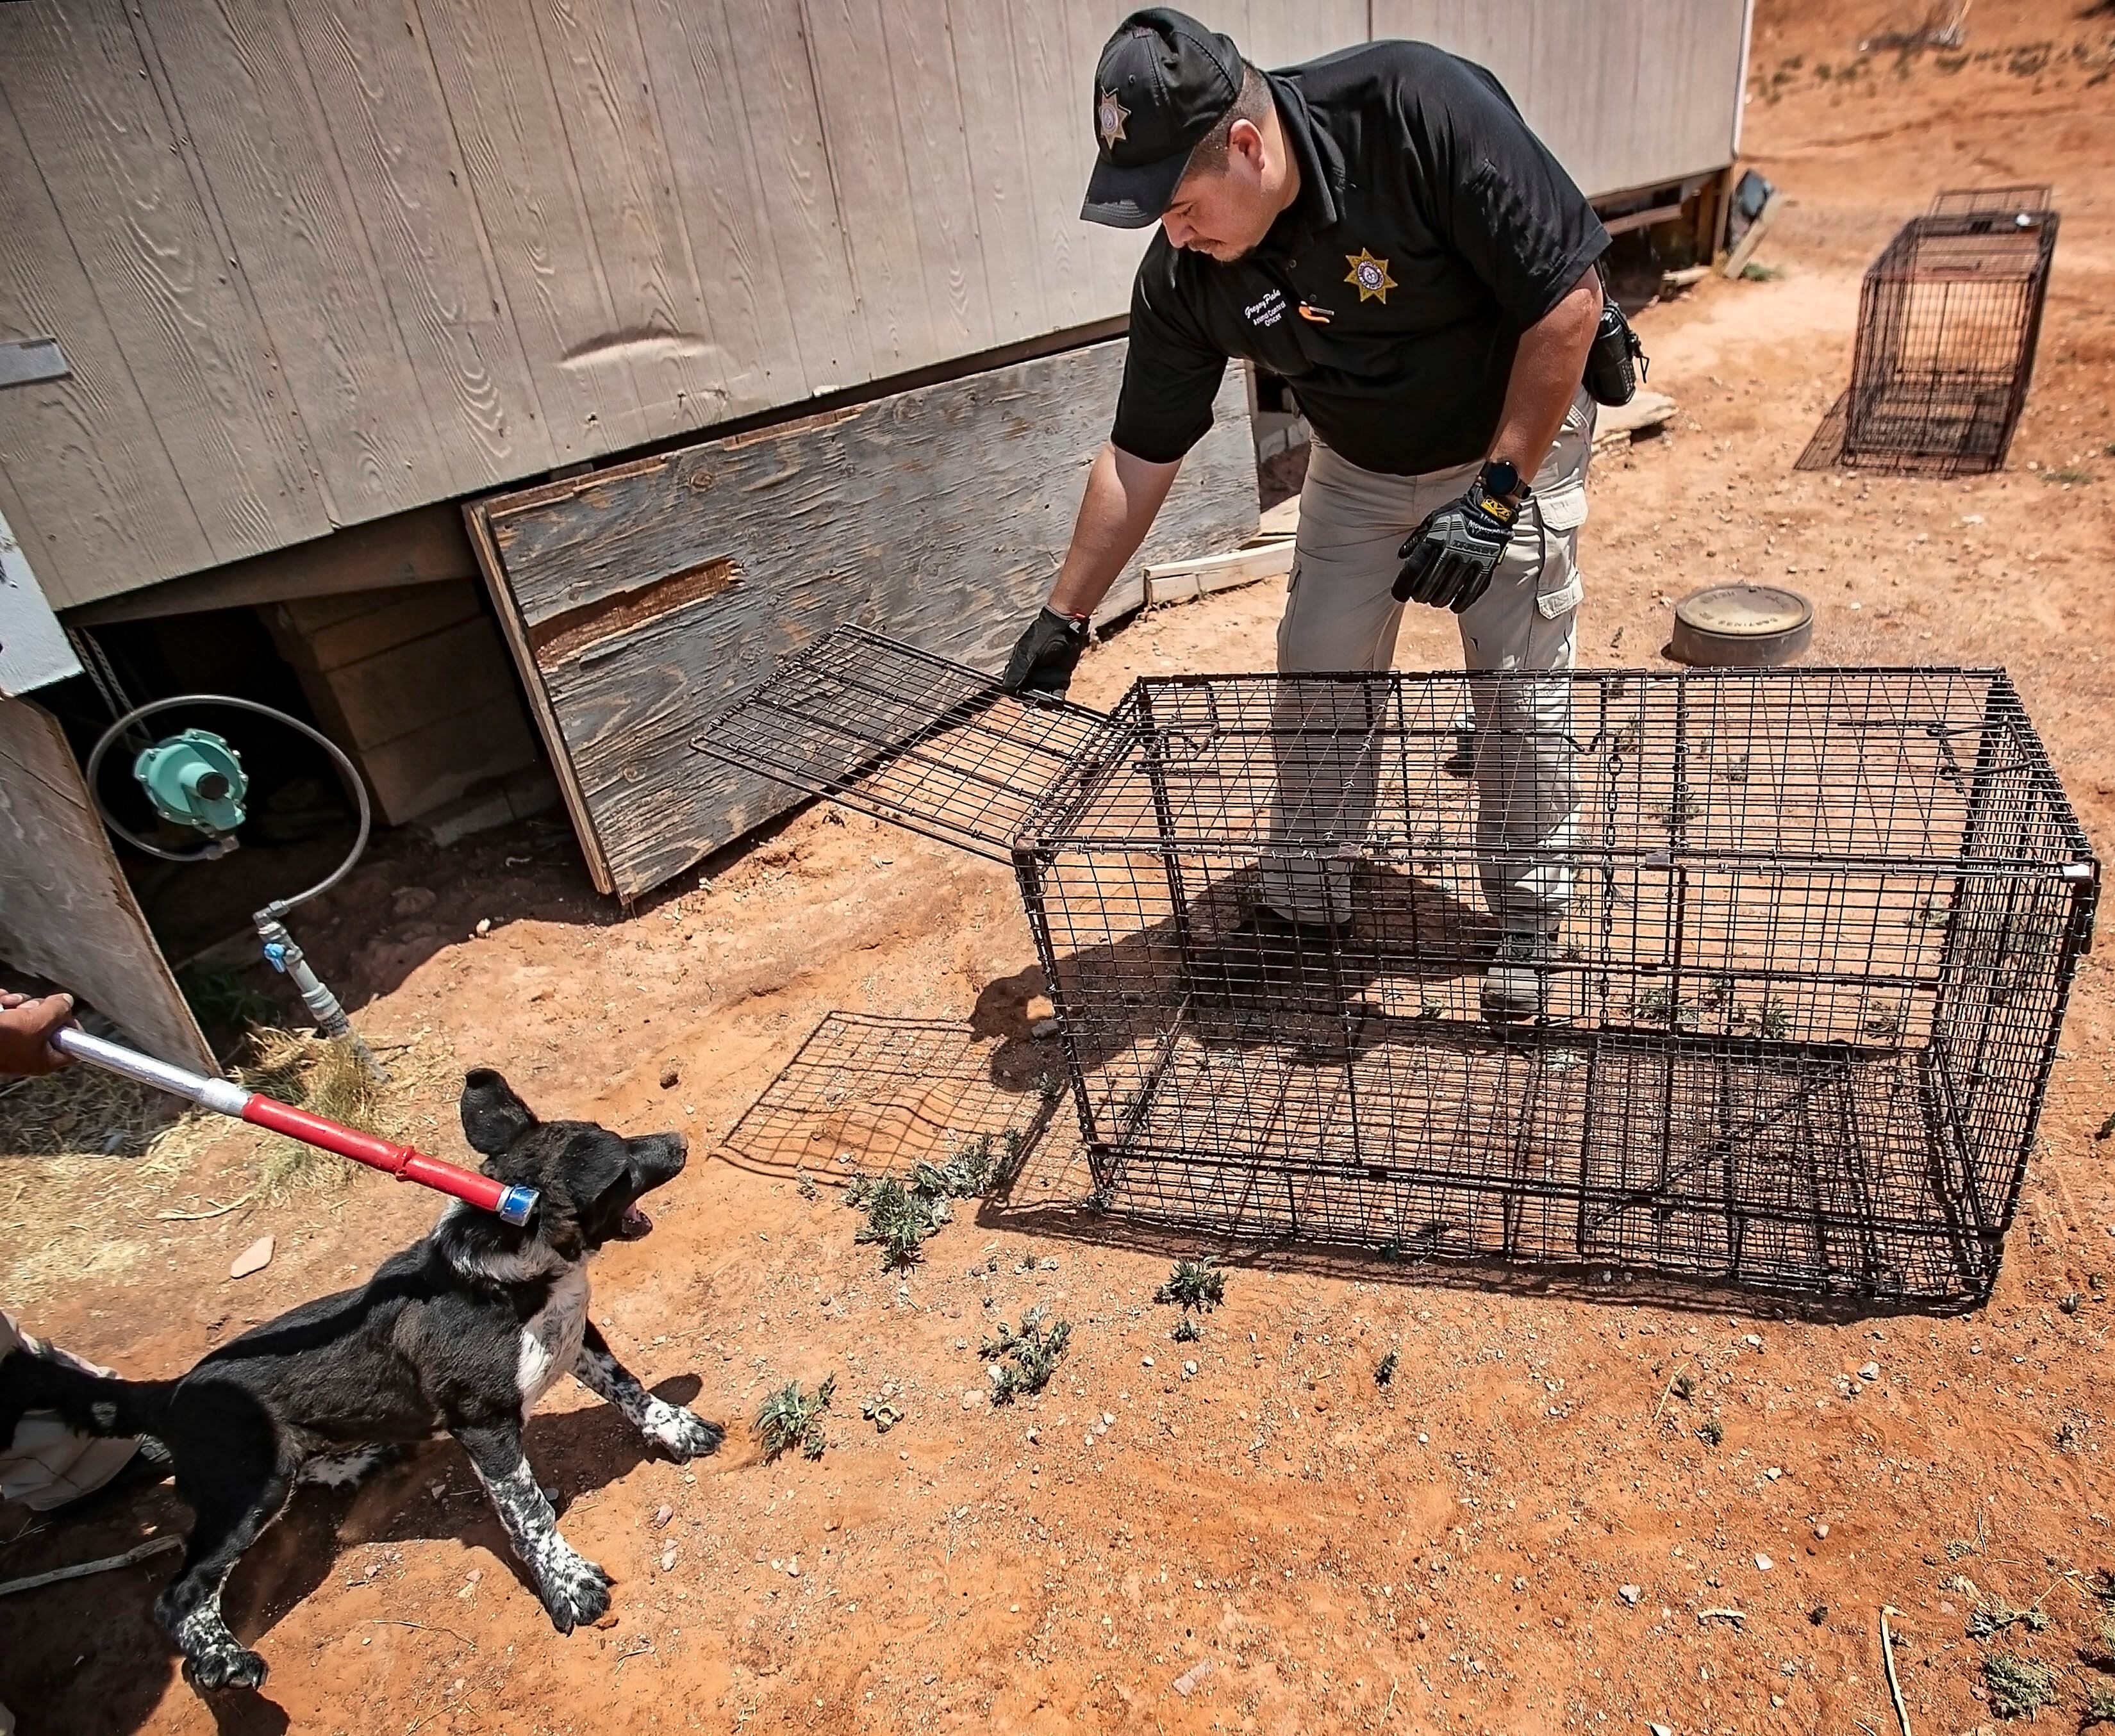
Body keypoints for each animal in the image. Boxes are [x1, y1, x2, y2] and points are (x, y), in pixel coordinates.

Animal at [0, 1061, 723, 1683]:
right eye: (622, 1164)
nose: (680, 1140)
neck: (516, 1272)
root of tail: (171, 1393)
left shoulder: (578, 1340)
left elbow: (630, 1390)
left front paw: (677, 1427)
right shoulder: (484, 1425)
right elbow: (528, 1513)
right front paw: (567, 1582)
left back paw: (348, 1460)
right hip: (250, 1485)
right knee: (178, 1596)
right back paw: (223, 1658)